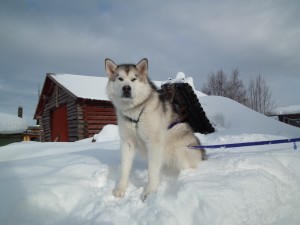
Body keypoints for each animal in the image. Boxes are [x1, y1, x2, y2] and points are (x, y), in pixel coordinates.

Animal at [104, 58, 205, 200]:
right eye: (120, 78)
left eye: (134, 79)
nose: (126, 88)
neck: (135, 113)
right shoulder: (127, 142)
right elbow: (124, 168)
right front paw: (120, 188)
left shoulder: (153, 144)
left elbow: (152, 170)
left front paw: (150, 192)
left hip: (178, 153)